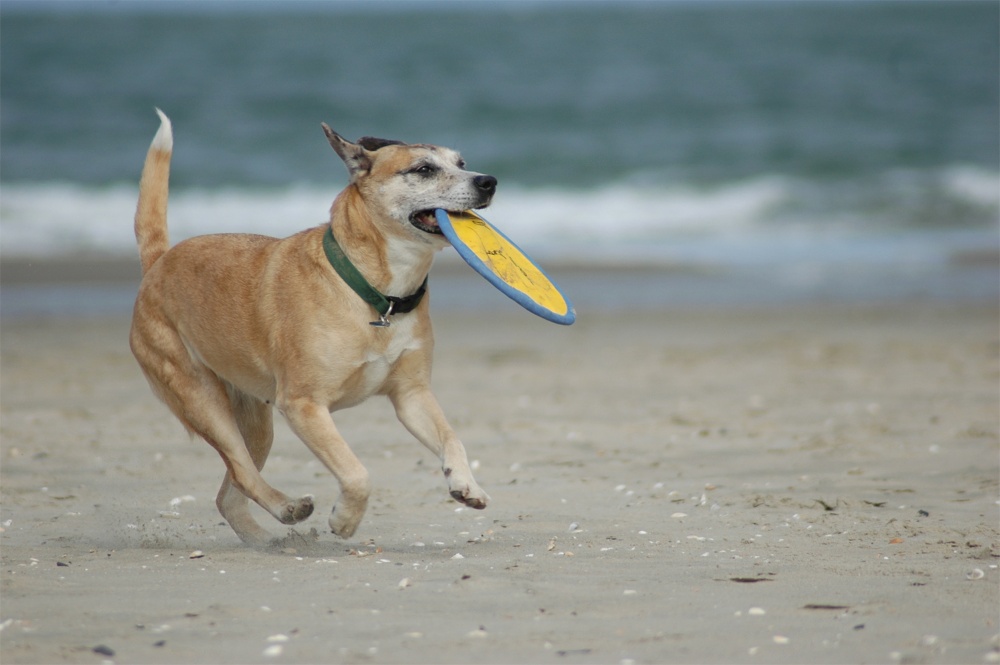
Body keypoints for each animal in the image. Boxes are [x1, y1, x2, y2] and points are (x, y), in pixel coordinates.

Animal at [129, 109, 496, 544]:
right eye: (424, 169)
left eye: (461, 162)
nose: (488, 181)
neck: (377, 293)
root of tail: (159, 262)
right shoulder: (304, 406)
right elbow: (356, 473)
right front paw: (345, 520)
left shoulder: (412, 395)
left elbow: (450, 437)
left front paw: (466, 484)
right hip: (200, 397)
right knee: (241, 470)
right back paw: (288, 509)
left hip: (256, 422)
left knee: (230, 492)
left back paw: (269, 539)